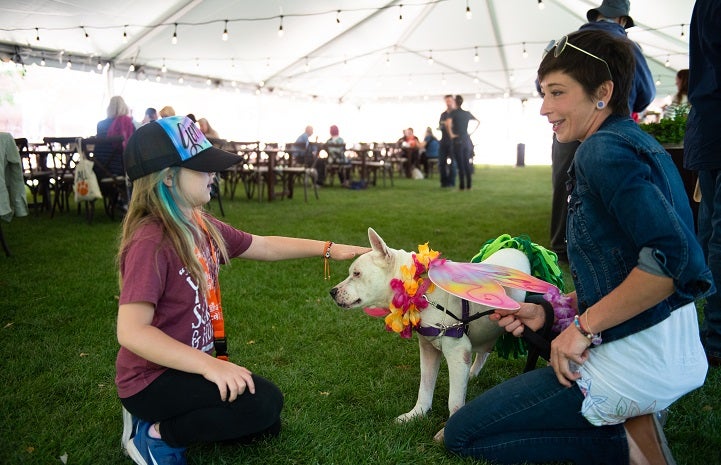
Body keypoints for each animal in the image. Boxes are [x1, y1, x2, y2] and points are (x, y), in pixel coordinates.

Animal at [328, 227, 528, 422]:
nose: (332, 291)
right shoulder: (427, 348)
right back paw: (472, 374)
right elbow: (425, 385)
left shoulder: (458, 352)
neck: (419, 290)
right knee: (484, 351)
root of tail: (517, 245)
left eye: (357, 274)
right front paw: (417, 413)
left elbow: (455, 401)